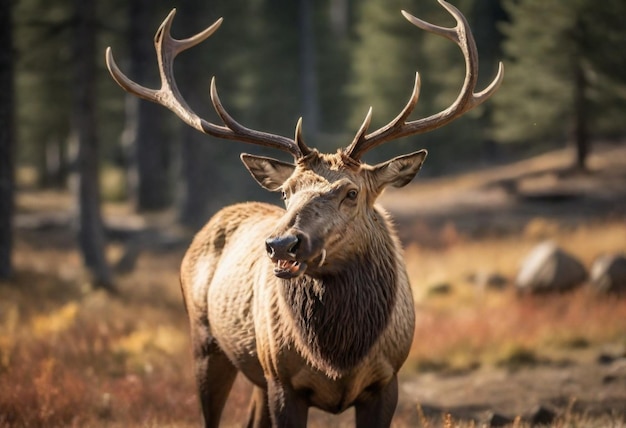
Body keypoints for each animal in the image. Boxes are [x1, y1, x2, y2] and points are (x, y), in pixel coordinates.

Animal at [103, 1, 502, 426]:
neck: (338, 357)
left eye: (351, 192)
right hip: (206, 344)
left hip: (254, 374)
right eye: (285, 192)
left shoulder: (387, 380)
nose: (281, 243)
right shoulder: (284, 381)